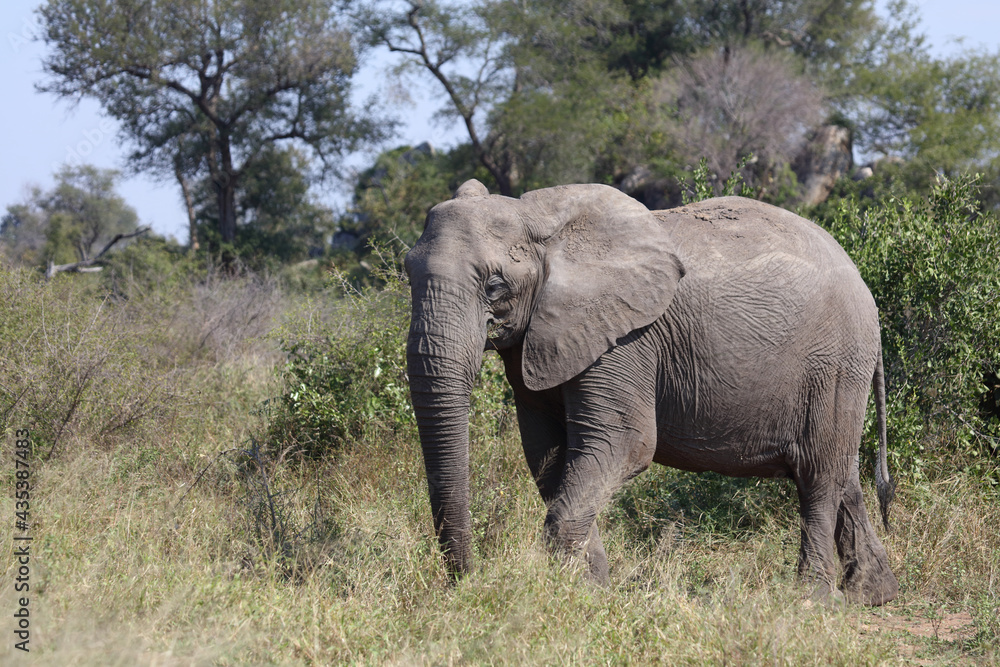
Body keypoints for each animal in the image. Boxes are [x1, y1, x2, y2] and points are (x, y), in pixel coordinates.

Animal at [404, 177, 900, 604]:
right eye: (407, 274)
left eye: (494, 286)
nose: (466, 582)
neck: (543, 224)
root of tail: (866, 290)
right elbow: (549, 457)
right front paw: (590, 590)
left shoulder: (626, 339)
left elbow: (622, 445)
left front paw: (556, 596)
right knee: (841, 472)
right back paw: (872, 593)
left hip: (835, 364)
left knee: (818, 475)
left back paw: (812, 600)